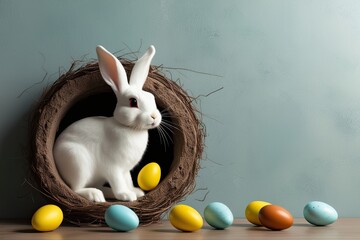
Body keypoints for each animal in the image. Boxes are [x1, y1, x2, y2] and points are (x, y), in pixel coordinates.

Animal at [52, 45, 161, 202]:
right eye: (133, 102)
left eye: (152, 97)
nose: (154, 117)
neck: (129, 128)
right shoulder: (113, 167)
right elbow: (117, 181)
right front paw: (126, 195)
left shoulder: (125, 170)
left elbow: (127, 180)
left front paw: (135, 191)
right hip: (77, 161)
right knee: (75, 188)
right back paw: (95, 195)